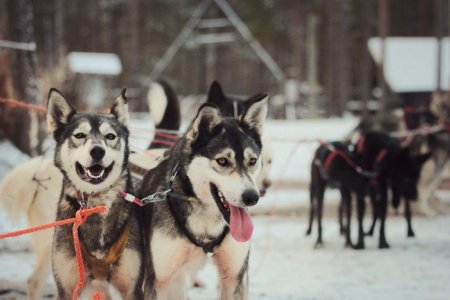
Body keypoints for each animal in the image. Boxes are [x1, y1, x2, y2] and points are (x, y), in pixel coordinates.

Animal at [47, 88, 144, 298]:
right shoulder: (66, 289)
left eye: (110, 136)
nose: (97, 151)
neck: (96, 203)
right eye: (79, 135)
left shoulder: (133, 289)